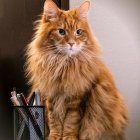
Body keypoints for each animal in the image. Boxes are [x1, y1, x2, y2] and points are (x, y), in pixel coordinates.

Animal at [25, 0, 128, 139]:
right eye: (61, 31)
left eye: (78, 32)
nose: (71, 43)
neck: (63, 65)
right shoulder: (51, 95)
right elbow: (54, 121)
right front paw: (54, 137)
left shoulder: (77, 98)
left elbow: (70, 122)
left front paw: (69, 137)